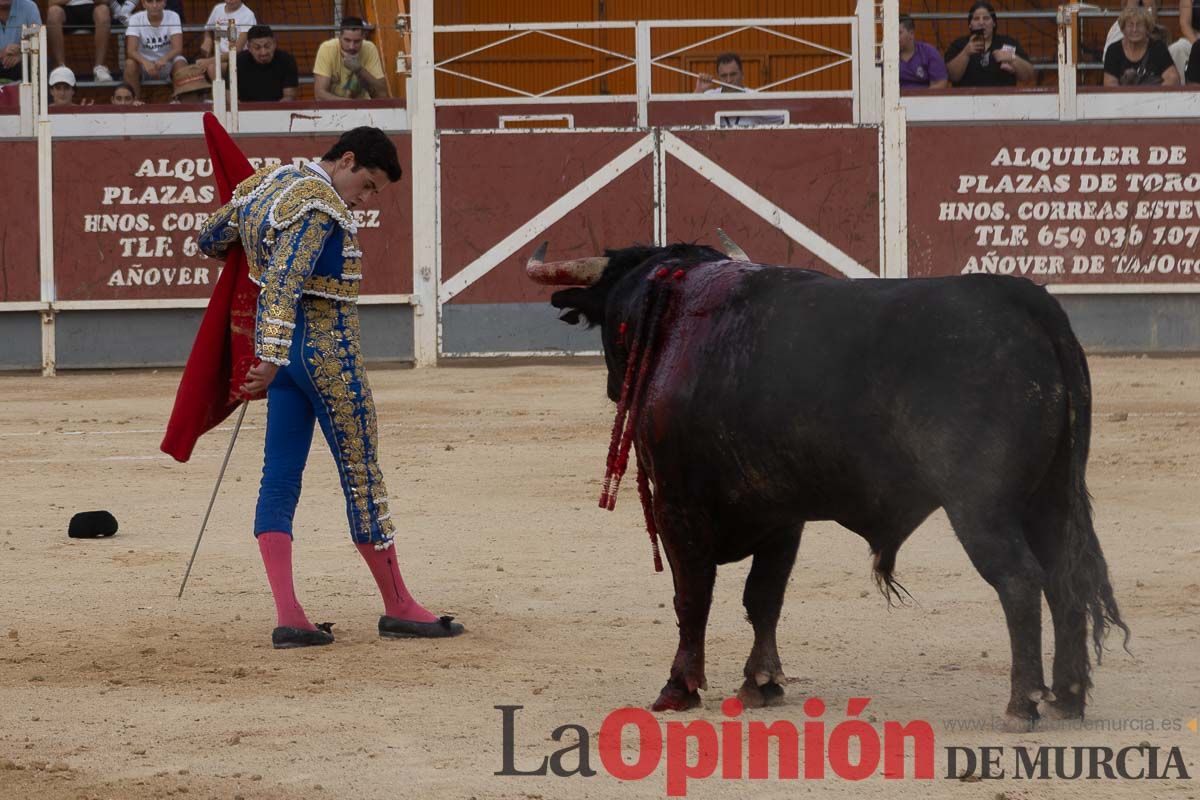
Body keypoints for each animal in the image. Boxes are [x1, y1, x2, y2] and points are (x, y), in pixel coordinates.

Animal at [530, 241, 1128, 729]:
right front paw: (761, 682)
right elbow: (763, 597)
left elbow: (693, 597)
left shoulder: (677, 505)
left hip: (983, 507)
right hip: (1049, 499)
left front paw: (680, 687)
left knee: (1021, 581)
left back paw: (1022, 703)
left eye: (610, 321)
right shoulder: (781, 515)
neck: (678, 323)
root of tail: (1020, 297)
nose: (615, 386)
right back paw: (1068, 696)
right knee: (1063, 579)